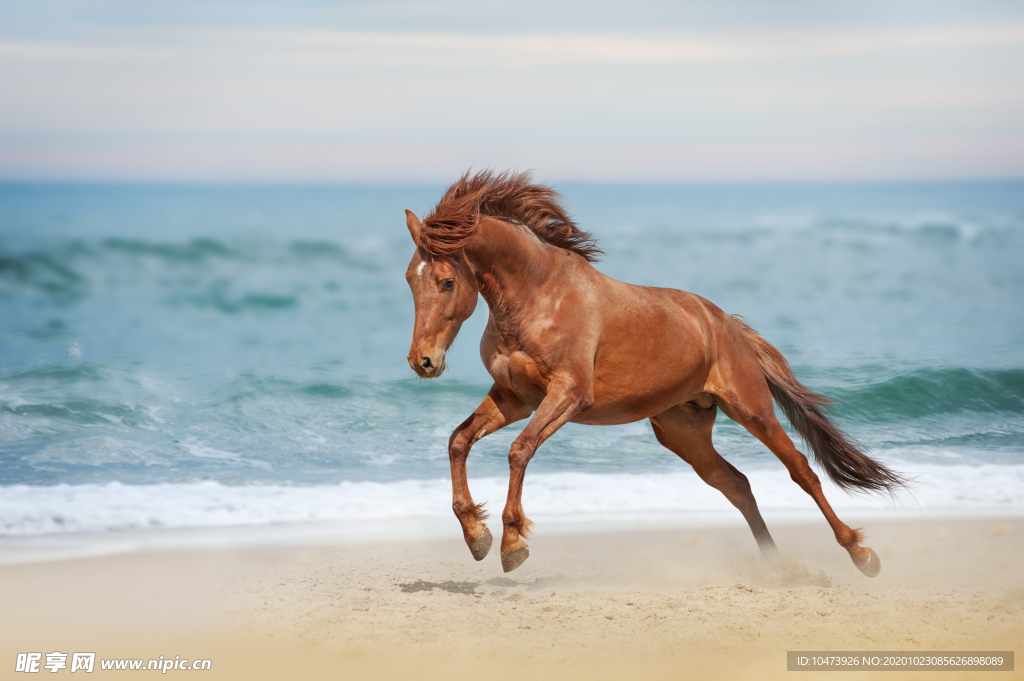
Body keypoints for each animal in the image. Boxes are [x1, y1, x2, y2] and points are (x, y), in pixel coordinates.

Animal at [403, 168, 901, 573]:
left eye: (447, 281)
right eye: (410, 278)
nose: (422, 361)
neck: (538, 296)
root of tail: (727, 325)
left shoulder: (567, 395)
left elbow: (519, 450)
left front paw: (511, 545)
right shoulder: (515, 398)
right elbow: (458, 442)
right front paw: (477, 536)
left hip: (752, 410)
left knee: (802, 470)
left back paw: (861, 553)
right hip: (683, 430)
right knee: (736, 484)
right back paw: (779, 566)